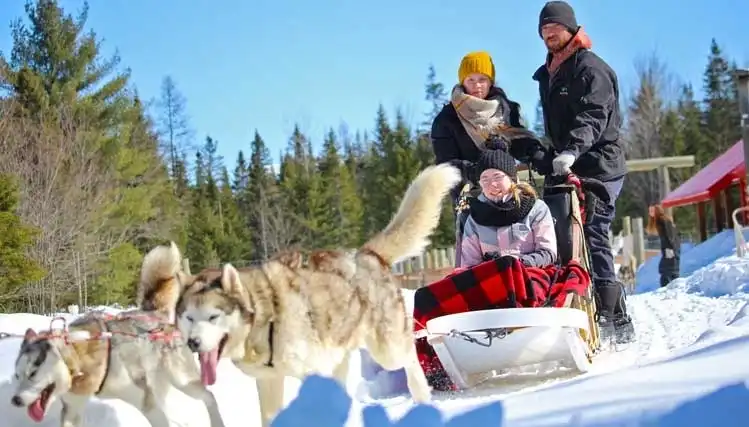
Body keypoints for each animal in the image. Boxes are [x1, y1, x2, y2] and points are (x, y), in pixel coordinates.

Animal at [8, 244, 226, 427]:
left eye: (33, 373)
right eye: (17, 375)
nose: (14, 400)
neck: (81, 359)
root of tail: (155, 314)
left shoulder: (145, 400)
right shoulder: (73, 408)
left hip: (181, 379)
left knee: (209, 397)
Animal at [164, 163, 462, 424]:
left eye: (213, 317)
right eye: (188, 318)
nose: (193, 343)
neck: (265, 318)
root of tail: (366, 254)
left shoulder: (311, 371)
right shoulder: (268, 381)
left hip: (388, 351)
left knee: (411, 360)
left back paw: (422, 397)